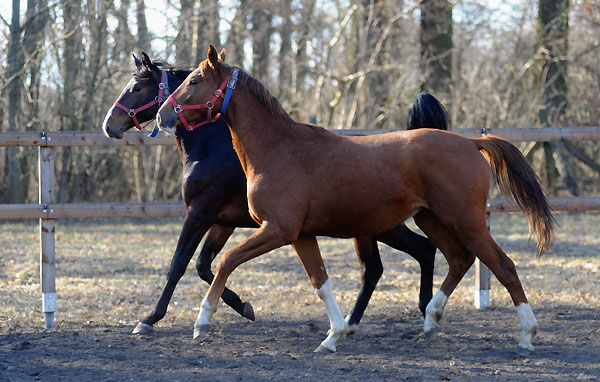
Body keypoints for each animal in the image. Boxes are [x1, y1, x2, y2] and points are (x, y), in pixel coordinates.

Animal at [102, 53, 440, 338]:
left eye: (136, 87)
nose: (109, 125)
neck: (213, 149)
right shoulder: (223, 222)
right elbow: (204, 265)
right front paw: (244, 307)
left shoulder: (200, 213)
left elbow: (179, 265)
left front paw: (149, 319)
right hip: (372, 228)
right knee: (398, 260)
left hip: (381, 227)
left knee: (413, 254)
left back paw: (415, 313)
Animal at [157, 46, 556, 354]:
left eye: (195, 81)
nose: (161, 116)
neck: (278, 150)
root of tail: (471, 142)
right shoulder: (301, 235)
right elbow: (321, 283)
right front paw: (334, 336)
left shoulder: (277, 230)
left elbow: (225, 262)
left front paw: (201, 323)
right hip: (431, 219)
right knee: (458, 260)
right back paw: (430, 321)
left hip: (465, 221)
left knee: (503, 266)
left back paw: (527, 336)